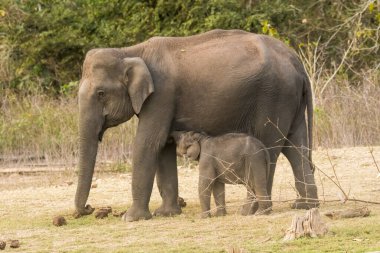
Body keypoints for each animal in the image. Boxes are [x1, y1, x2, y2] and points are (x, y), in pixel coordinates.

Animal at [74, 28, 318, 220]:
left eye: (101, 93)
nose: (88, 209)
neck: (130, 51)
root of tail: (297, 62)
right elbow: (163, 145)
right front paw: (167, 213)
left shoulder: (162, 95)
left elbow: (148, 143)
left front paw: (131, 218)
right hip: (290, 99)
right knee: (295, 147)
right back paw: (305, 205)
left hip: (274, 97)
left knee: (271, 147)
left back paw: (251, 210)